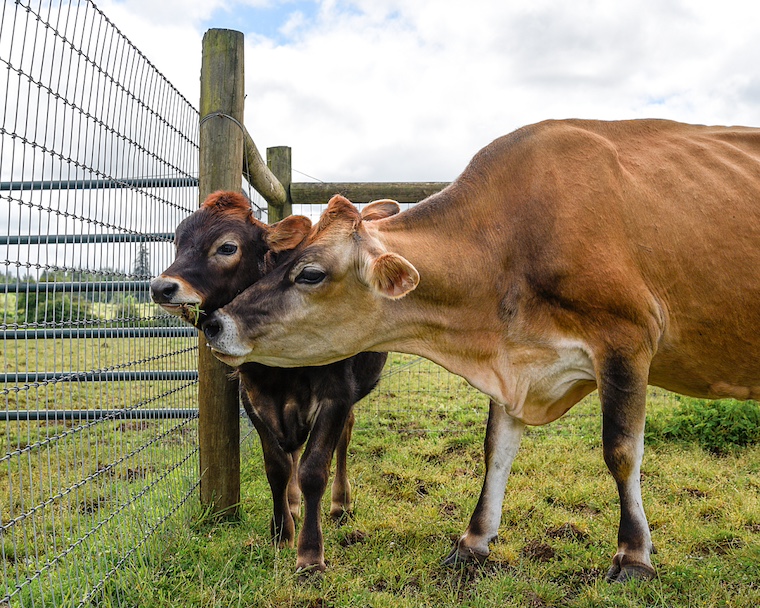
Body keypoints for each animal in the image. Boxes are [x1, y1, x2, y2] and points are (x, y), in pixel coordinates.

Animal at [150, 190, 390, 572]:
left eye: (227, 247)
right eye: (178, 242)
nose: (161, 288)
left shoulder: (337, 396)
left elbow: (313, 469)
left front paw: (310, 553)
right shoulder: (254, 397)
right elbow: (277, 467)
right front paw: (281, 532)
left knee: (343, 439)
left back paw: (340, 504)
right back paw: (292, 506)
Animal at [199, 119, 760, 582]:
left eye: (309, 273)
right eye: (275, 259)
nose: (215, 322)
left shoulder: (627, 340)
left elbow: (621, 452)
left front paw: (634, 555)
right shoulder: (514, 362)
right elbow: (496, 450)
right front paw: (473, 541)